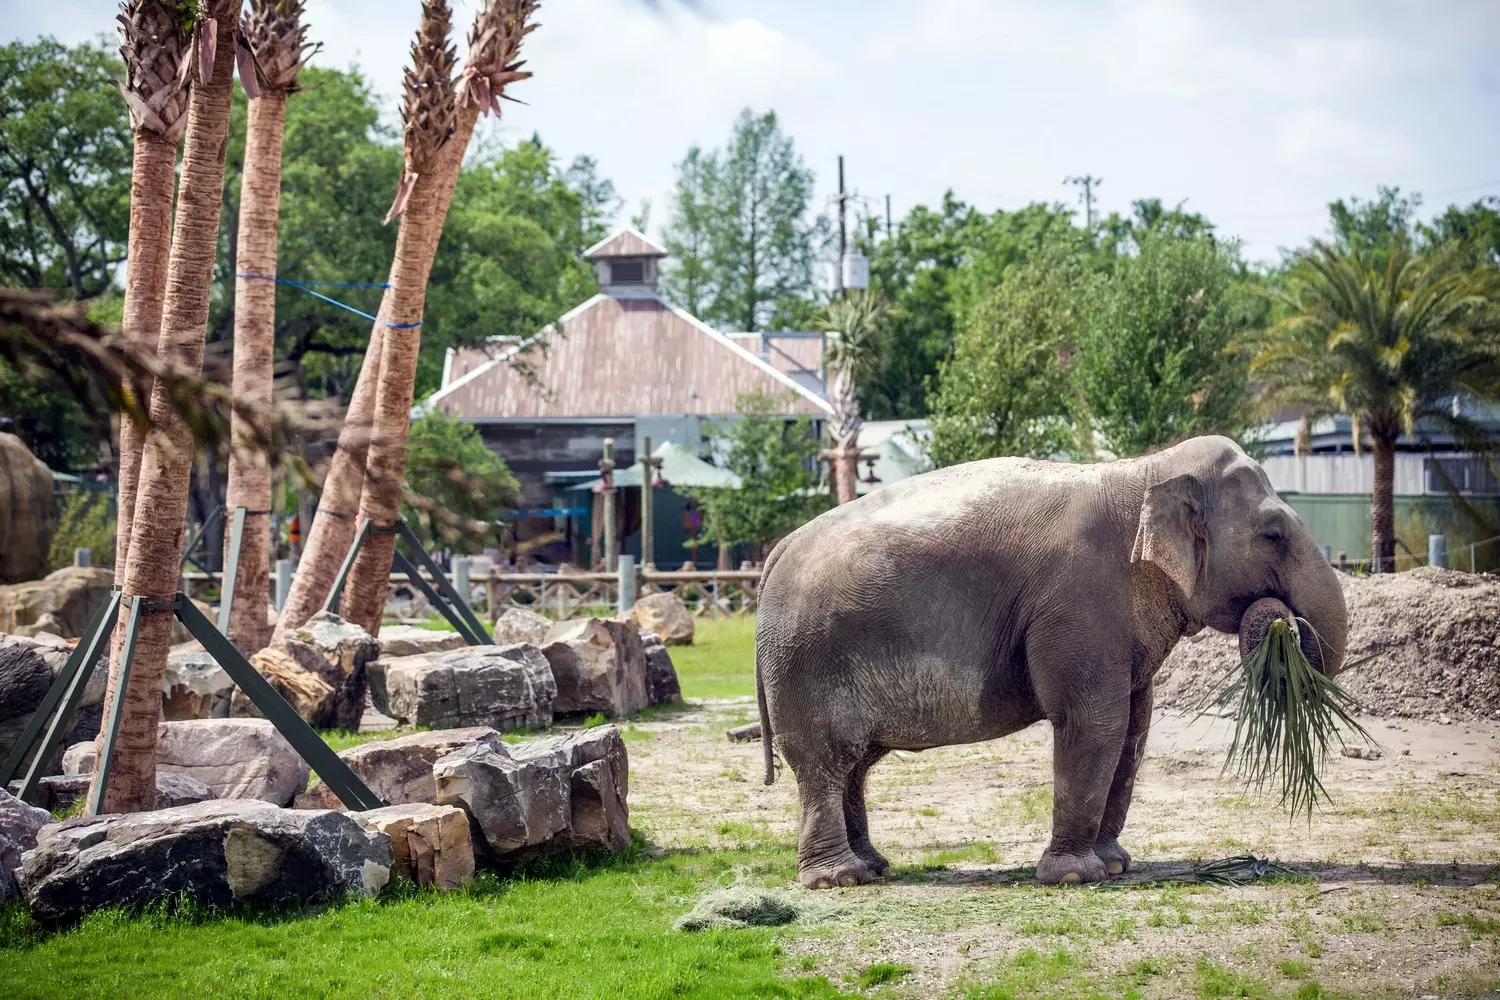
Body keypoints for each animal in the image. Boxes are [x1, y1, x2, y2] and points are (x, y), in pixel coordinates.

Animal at [754, 435, 1348, 889]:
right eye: (1273, 534)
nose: (1279, 622)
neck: (1147, 468)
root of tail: (779, 548)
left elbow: (1133, 728)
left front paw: (1115, 865)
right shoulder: (1078, 603)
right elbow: (1093, 721)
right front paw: (1075, 877)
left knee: (854, 766)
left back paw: (874, 867)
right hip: (806, 660)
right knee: (825, 762)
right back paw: (838, 880)